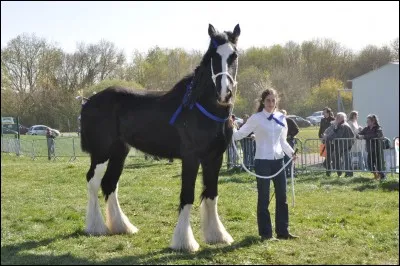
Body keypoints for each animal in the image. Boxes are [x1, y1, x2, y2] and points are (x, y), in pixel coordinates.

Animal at [79, 23, 239, 251]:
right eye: (213, 57)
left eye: (234, 55)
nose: (224, 93)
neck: (200, 107)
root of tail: (88, 101)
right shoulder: (191, 158)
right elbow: (187, 195)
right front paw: (184, 242)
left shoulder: (214, 158)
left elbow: (211, 194)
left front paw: (217, 235)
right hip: (101, 152)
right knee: (93, 181)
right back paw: (96, 227)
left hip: (120, 151)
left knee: (110, 184)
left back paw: (122, 226)